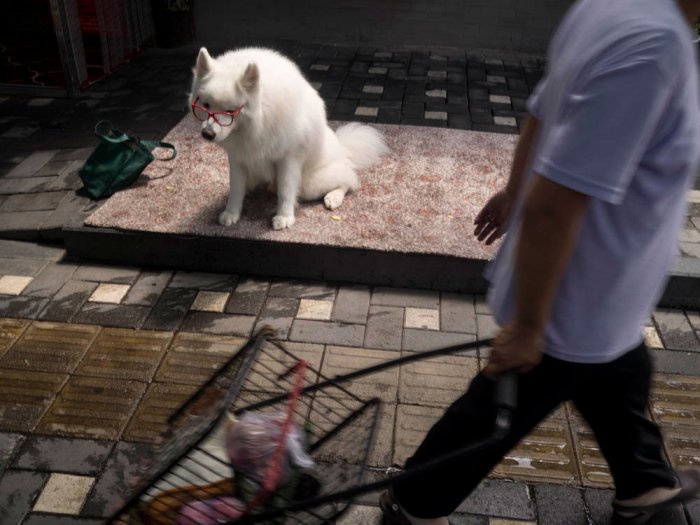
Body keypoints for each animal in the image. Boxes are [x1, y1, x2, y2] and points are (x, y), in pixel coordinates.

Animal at [190, 47, 388, 229]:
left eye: (230, 111)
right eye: (205, 105)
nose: (207, 134)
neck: (260, 120)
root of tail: (342, 147)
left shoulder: (288, 158)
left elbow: (286, 190)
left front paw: (284, 217)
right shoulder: (237, 158)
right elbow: (236, 188)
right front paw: (231, 213)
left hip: (310, 183)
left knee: (348, 179)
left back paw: (333, 197)